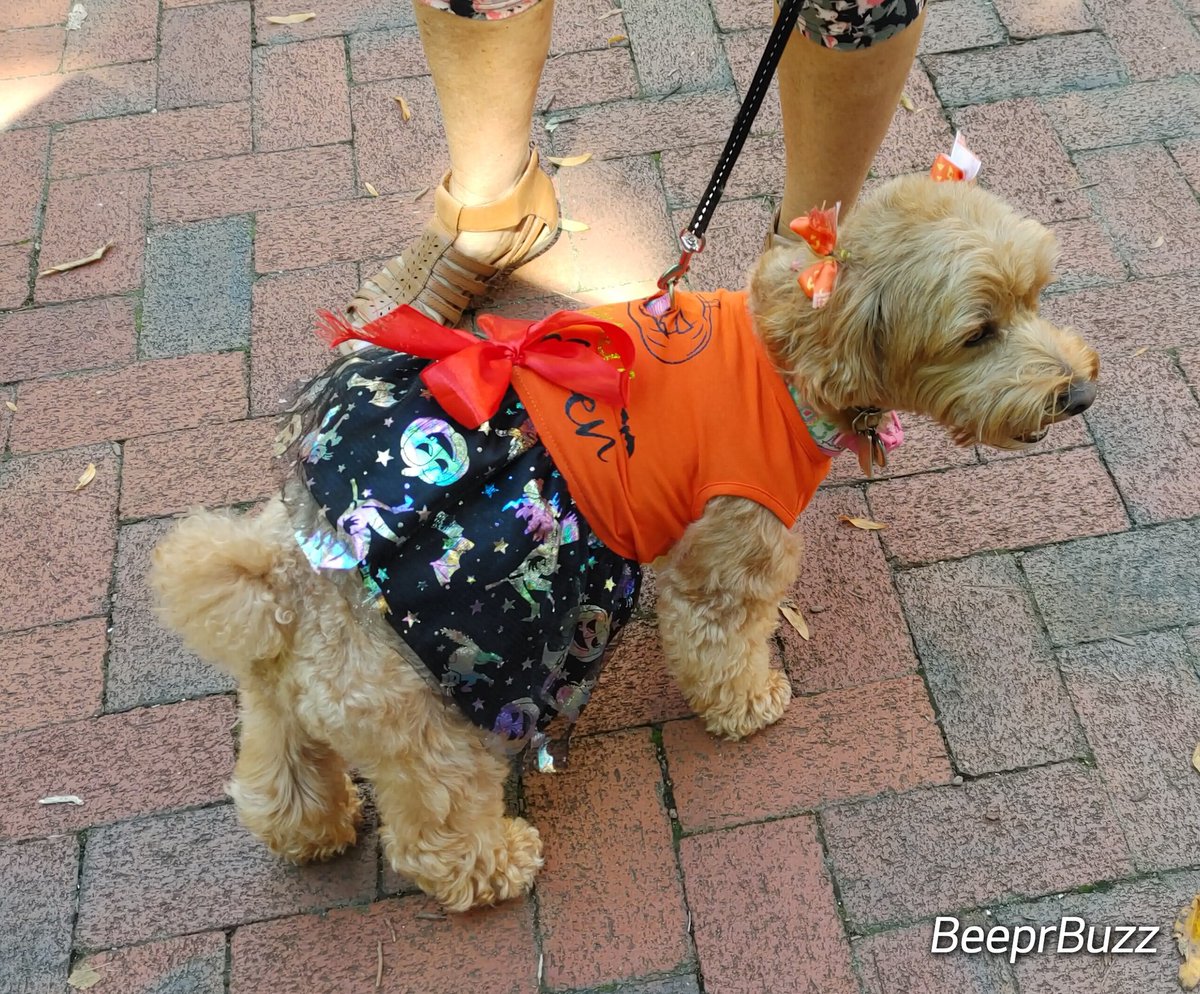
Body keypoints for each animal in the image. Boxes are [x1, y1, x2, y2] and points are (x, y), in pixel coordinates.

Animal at [147, 170, 1099, 907]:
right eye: (977, 332)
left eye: (1037, 297)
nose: (1081, 394)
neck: (792, 354)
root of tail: (297, 582)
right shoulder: (728, 556)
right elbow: (721, 644)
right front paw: (750, 702)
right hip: (436, 727)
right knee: (434, 833)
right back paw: (496, 866)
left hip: (287, 705)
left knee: (276, 780)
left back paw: (311, 829)